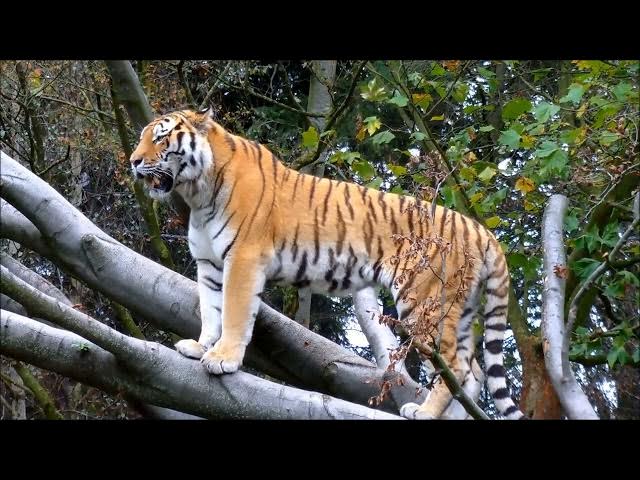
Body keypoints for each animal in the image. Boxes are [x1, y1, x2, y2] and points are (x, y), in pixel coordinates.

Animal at [130, 107, 524, 420]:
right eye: (143, 137)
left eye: (161, 138)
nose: (133, 161)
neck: (197, 192)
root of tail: (479, 230)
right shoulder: (209, 265)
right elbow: (211, 310)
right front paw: (201, 347)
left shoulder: (242, 259)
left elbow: (234, 313)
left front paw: (223, 358)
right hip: (459, 309)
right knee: (472, 372)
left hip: (425, 303)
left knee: (456, 366)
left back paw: (425, 412)